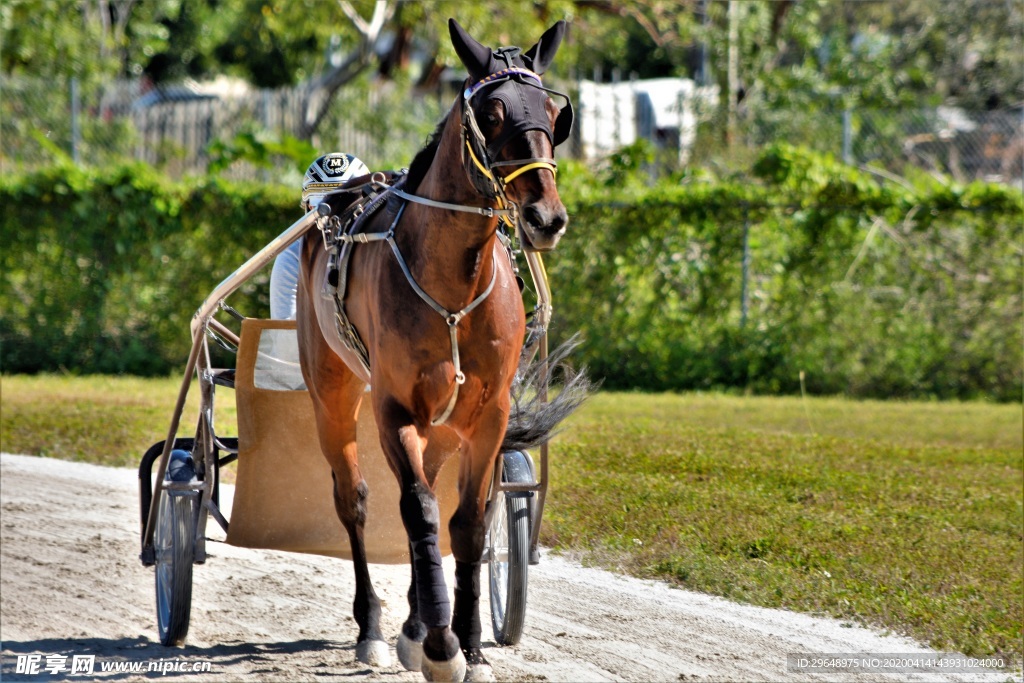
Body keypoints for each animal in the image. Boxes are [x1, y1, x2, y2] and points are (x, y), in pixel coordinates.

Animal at [296, 18, 585, 679]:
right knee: (356, 499)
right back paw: (376, 627)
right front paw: (440, 646)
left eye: (554, 113)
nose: (546, 217)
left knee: (427, 486)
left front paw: (470, 644)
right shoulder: (395, 409)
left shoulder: (488, 415)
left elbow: (469, 524)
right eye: (494, 113)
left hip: (447, 425)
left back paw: (413, 621)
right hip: (332, 392)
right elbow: (420, 512)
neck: (454, 281)